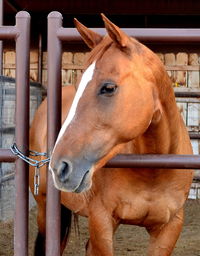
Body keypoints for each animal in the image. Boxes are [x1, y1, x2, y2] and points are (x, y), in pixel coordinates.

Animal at [28, 14, 193, 256]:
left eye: (108, 87)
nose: (59, 167)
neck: (153, 170)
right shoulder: (101, 220)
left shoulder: (169, 228)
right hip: (45, 209)